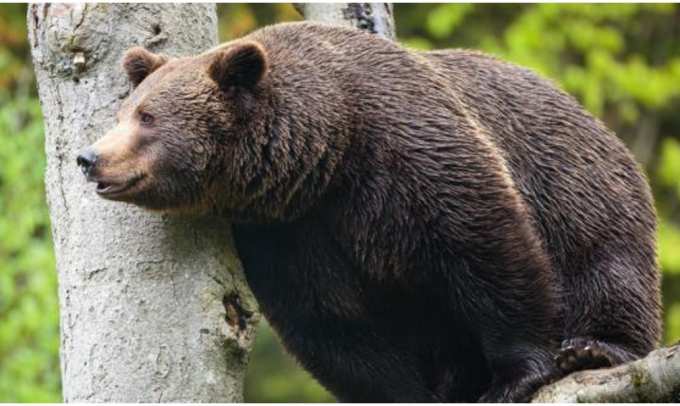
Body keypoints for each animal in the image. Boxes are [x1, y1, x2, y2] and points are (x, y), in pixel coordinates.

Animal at [76, 21, 661, 402]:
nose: (88, 158)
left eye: (148, 118)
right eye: (125, 111)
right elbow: (337, 325)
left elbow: (488, 249)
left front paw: (518, 374)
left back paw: (596, 349)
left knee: (605, 264)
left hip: (579, 185)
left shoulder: (411, 155)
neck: (325, 152)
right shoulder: (289, 233)